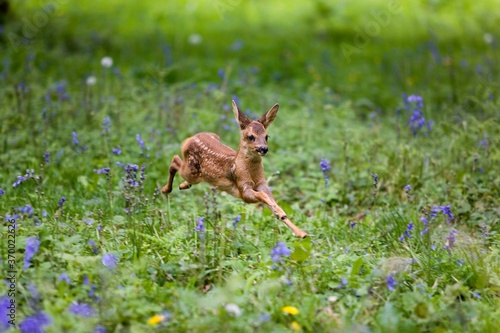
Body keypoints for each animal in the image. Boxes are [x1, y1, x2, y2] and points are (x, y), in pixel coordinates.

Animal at [160, 100, 308, 237]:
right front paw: (284, 217)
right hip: (192, 171)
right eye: (251, 136)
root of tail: (189, 139)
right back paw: (165, 189)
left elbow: (272, 201)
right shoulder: (243, 189)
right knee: (174, 160)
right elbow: (263, 197)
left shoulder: (262, 184)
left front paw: (300, 232)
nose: (264, 149)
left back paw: (182, 185)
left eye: (267, 136)